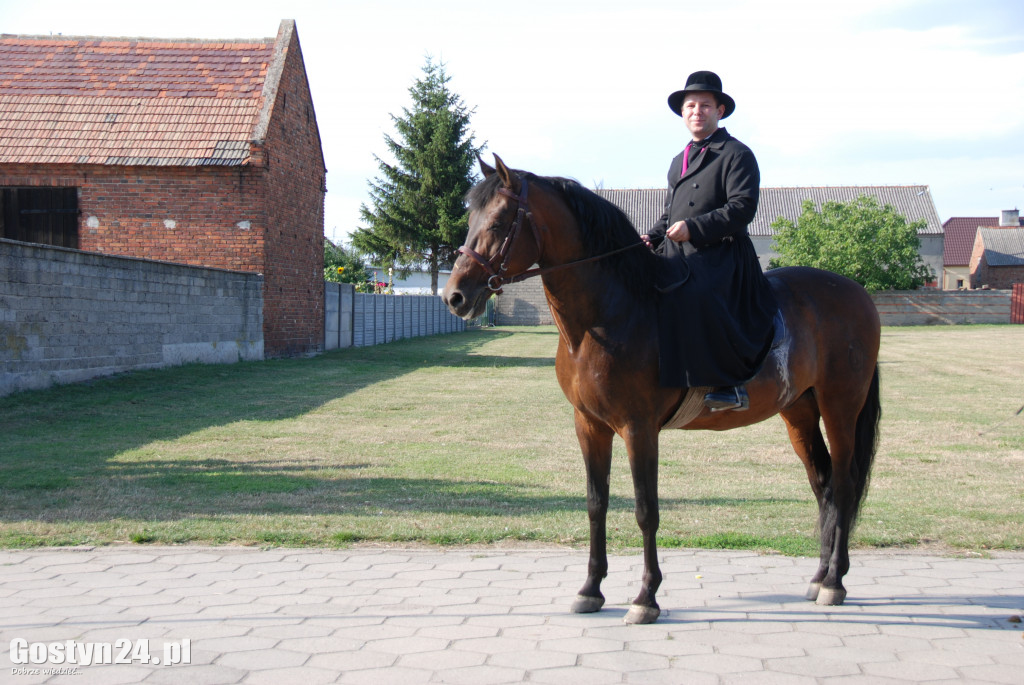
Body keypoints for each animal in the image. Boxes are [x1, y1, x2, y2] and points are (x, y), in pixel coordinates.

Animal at [440, 156, 880, 626]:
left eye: (499, 221)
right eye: (471, 220)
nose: (455, 296)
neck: (612, 314)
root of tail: (856, 292)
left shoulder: (639, 428)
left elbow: (645, 510)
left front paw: (645, 597)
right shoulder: (589, 426)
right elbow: (596, 504)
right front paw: (590, 589)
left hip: (840, 408)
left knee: (846, 484)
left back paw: (835, 582)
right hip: (799, 412)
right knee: (824, 485)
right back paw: (819, 576)